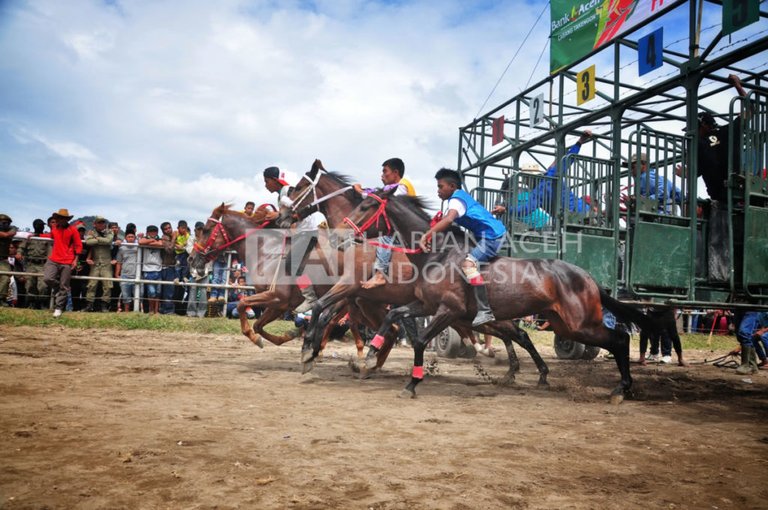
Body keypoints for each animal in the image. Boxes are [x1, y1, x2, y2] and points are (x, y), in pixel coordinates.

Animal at [188, 203, 364, 358]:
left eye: (206, 230)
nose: (191, 258)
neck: (266, 253)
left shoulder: (277, 297)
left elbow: (242, 304)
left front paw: (254, 337)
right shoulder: (278, 305)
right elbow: (258, 325)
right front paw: (289, 335)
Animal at [274, 159, 544, 382]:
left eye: (298, 187)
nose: (281, 218)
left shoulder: (350, 287)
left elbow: (322, 311)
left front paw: (309, 351)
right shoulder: (358, 297)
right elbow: (328, 314)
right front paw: (317, 351)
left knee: (514, 333)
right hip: (459, 315)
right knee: (510, 333)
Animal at [344, 189, 656, 404]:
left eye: (367, 205)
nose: (345, 230)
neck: (438, 254)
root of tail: (589, 277)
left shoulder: (449, 311)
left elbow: (420, 340)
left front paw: (412, 383)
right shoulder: (425, 305)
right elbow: (393, 315)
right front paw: (370, 355)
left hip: (580, 325)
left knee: (620, 339)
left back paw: (620, 389)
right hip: (563, 324)